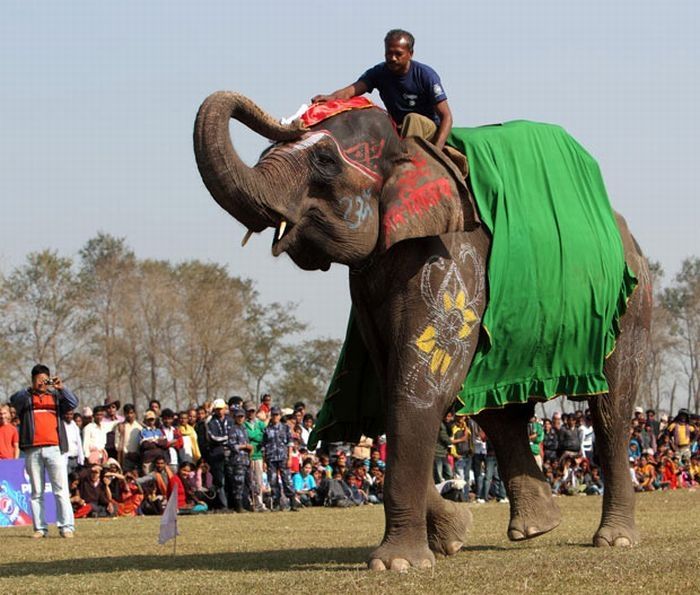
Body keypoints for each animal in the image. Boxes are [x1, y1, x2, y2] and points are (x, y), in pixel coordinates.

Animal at [191, 93, 652, 572]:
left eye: (325, 160)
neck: (409, 148)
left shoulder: (453, 258)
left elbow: (419, 387)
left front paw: (397, 564)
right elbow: (399, 383)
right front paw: (451, 536)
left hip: (632, 304)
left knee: (611, 408)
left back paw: (614, 539)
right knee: (497, 407)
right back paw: (535, 528)